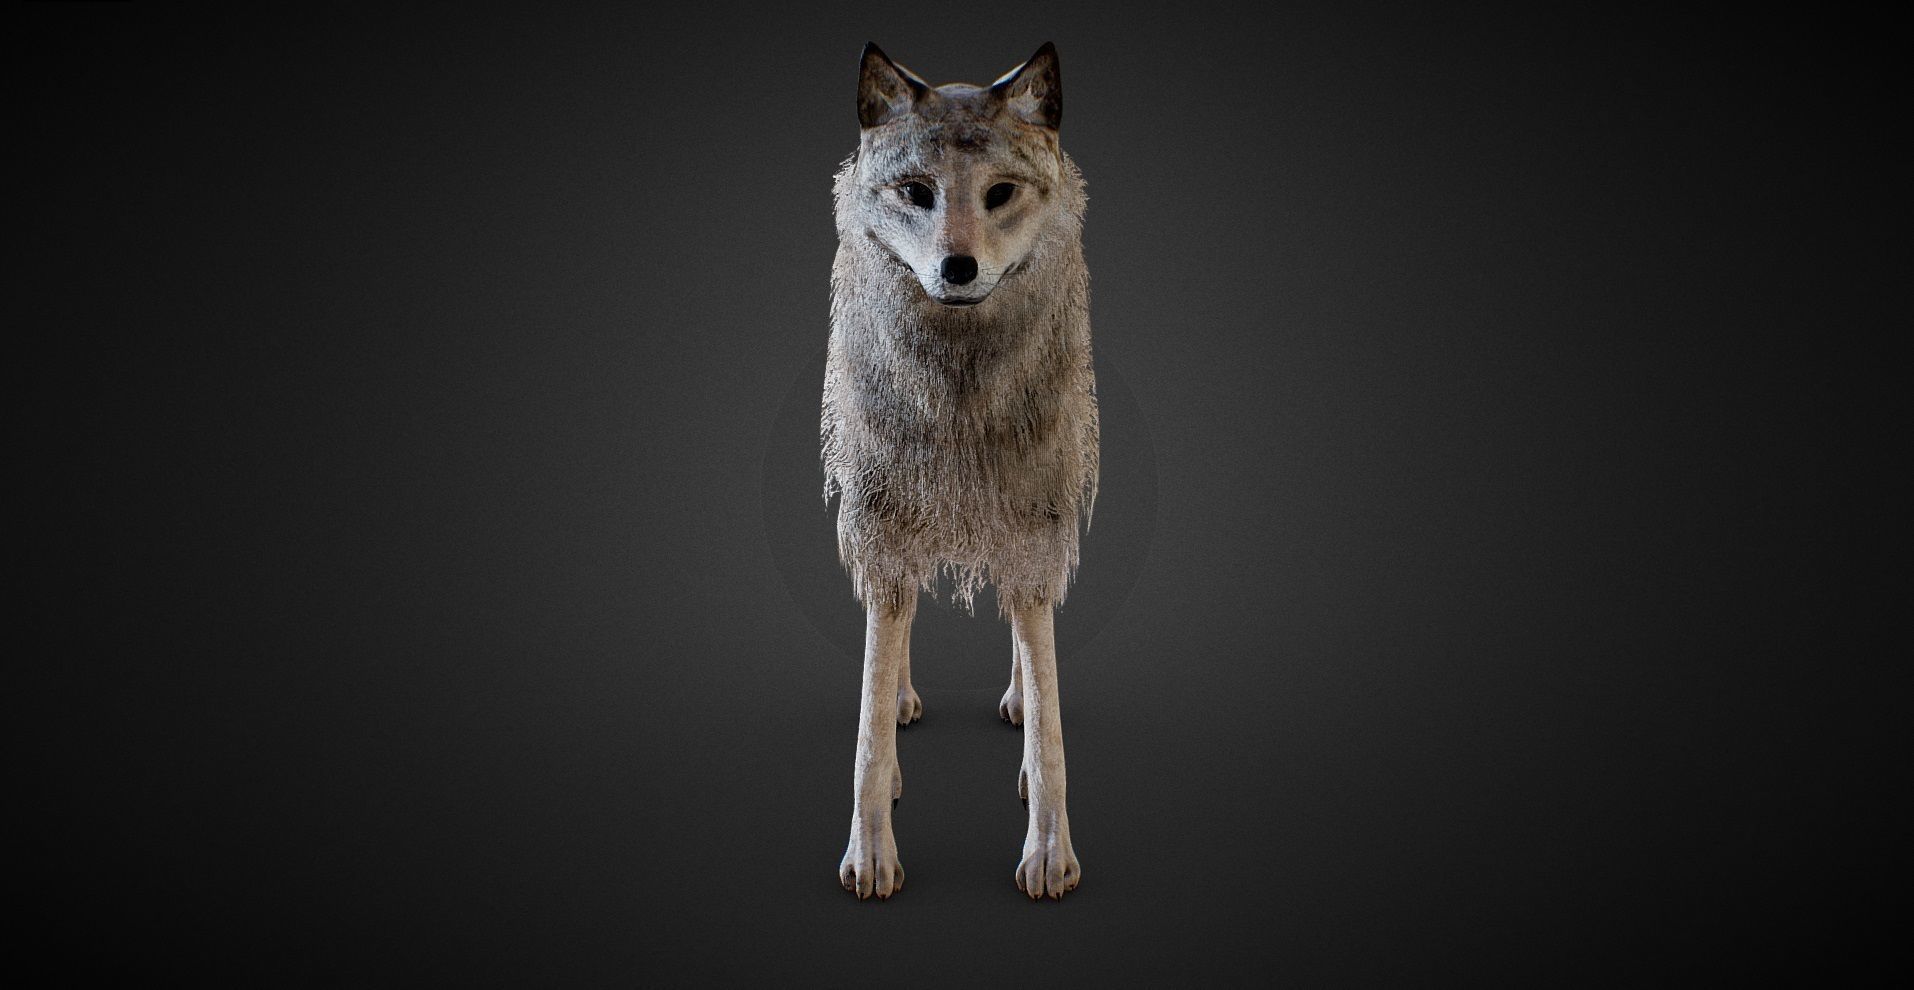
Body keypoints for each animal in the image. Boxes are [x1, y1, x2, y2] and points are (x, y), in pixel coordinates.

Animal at [821, 41, 1097, 901]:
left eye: (999, 193)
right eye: (917, 192)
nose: (958, 268)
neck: (959, 397)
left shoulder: (1036, 528)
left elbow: (1051, 725)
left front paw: (1049, 855)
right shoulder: (880, 530)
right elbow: (866, 730)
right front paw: (871, 856)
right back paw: (909, 698)